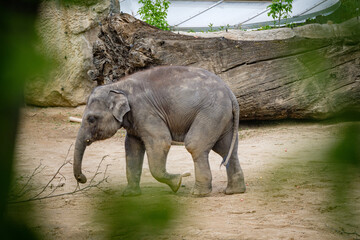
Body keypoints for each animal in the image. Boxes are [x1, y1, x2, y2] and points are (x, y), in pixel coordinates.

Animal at [74, 65, 246, 195]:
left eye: (91, 119)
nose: (83, 178)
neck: (118, 86)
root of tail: (230, 93)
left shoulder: (146, 111)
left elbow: (161, 141)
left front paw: (177, 183)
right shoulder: (135, 120)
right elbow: (132, 148)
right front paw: (129, 194)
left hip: (211, 112)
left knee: (195, 145)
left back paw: (198, 194)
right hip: (223, 117)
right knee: (226, 149)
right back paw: (233, 191)